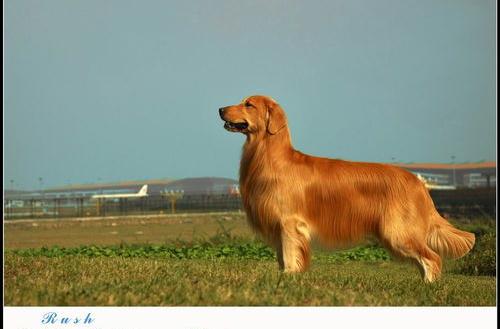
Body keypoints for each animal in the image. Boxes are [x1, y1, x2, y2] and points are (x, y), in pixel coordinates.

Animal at [220, 95, 476, 282]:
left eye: (248, 104)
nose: (220, 109)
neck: (270, 156)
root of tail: (418, 182)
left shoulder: (289, 223)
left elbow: (289, 254)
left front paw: (289, 277)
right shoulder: (279, 226)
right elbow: (282, 257)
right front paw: (284, 278)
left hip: (397, 232)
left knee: (432, 258)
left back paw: (429, 286)